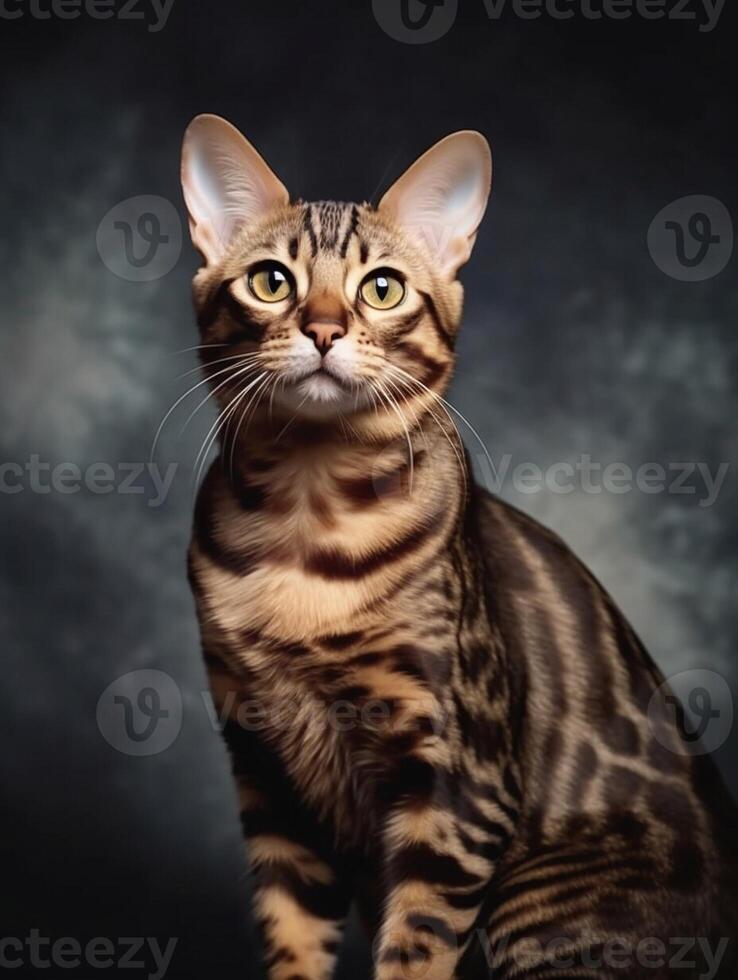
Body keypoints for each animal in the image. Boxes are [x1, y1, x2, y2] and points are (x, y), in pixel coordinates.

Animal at [180, 111, 736, 976]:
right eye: (272, 281)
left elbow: (415, 950)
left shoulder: (458, 788)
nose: (324, 329)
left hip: (534, 902)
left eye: (382, 288)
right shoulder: (269, 776)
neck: (307, 515)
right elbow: (294, 939)